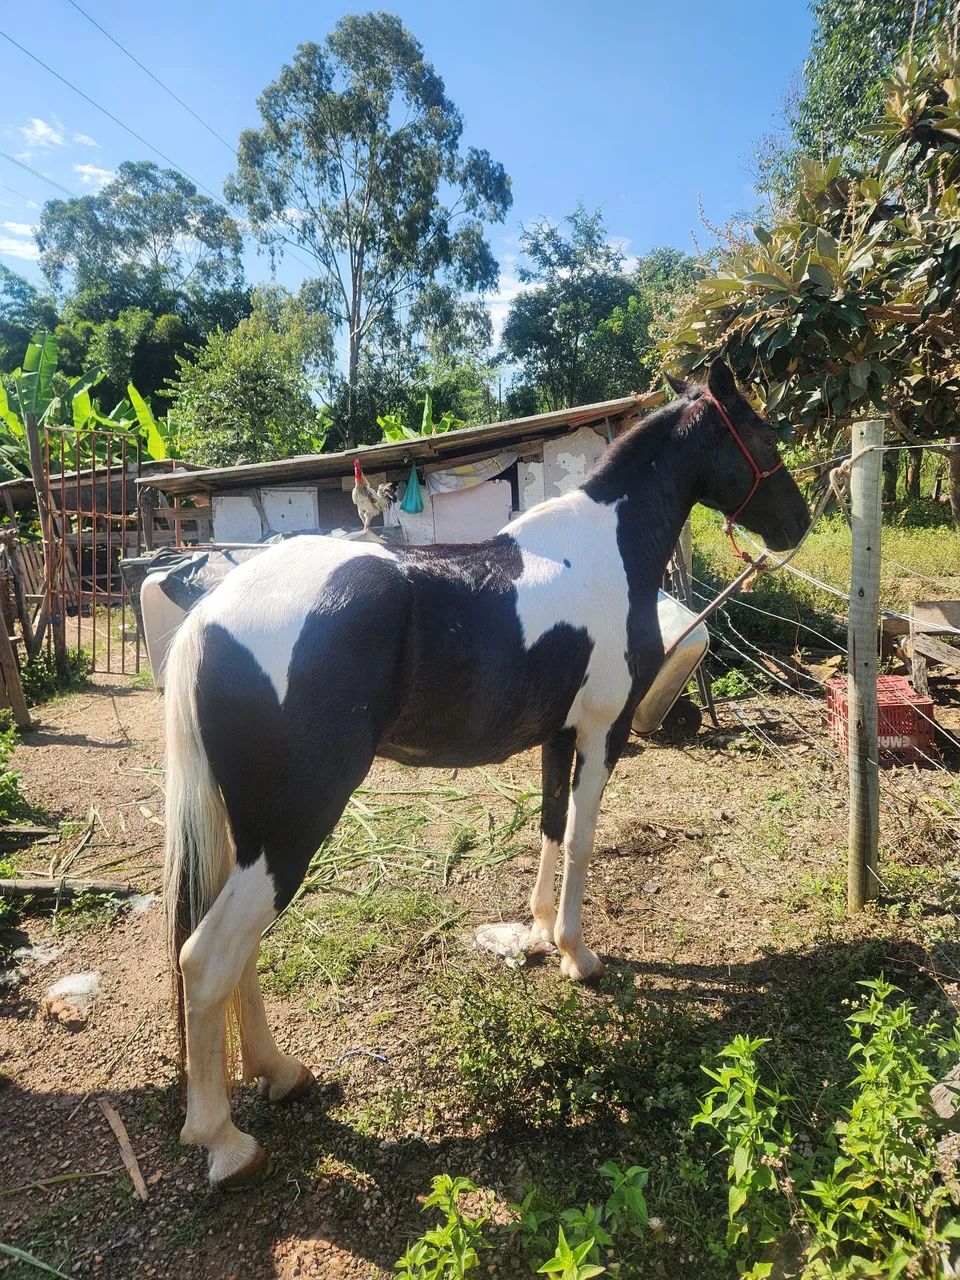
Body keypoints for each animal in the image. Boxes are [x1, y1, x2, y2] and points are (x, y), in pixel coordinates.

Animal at [162, 358, 810, 1187]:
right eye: (762, 435)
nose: (798, 524)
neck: (607, 549)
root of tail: (209, 618)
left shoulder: (558, 734)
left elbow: (552, 827)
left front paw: (535, 933)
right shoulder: (603, 730)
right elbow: (583, 838)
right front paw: (576, 954)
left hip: (249, 836)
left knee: (235, 951)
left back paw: (280, 1074)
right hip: (291, 833)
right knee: (207, 958)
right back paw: (223, 1139)